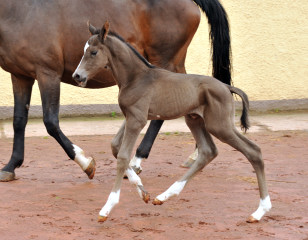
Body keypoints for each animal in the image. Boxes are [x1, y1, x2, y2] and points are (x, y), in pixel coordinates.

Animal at [73, 22, 270, 223]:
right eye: (84, 50)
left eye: (93, 52)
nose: (77, 76)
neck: (136, 77)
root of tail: (226, 86)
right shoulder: (132, 117)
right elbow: (115, 147)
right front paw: (143, 192)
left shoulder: (137, 120)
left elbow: (122, 157)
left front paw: (107, 208)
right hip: (195, 120)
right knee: (208, 151)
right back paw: (164, 196)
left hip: (220, 126)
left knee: (253, 151)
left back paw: (260, 211)